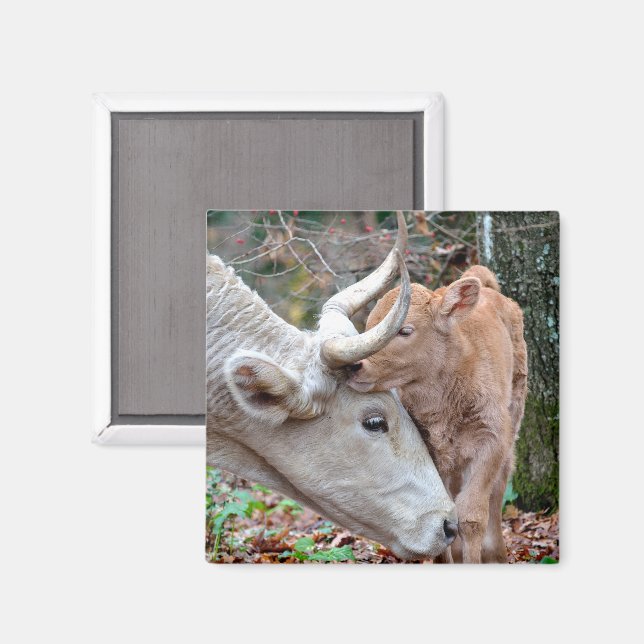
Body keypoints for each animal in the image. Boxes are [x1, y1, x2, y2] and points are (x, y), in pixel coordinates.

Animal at [347, 265, 528, 563]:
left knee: (500, 484)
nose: (354, 364)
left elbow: (471, 515)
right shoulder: (429, 448)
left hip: (514, 417)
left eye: (405, 330)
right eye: (369, 326)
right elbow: (442, 514)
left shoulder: (491, 441)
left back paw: (496, 553)